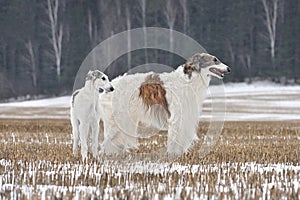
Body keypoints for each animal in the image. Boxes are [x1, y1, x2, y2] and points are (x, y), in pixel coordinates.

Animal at [99, 52, 231, 155]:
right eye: (215, 60)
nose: (229, 69)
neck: (188, 81)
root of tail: (110, 87)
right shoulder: (177, 118)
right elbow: (174, 139)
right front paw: (173, 155)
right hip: (118, 121)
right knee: (105, 143)